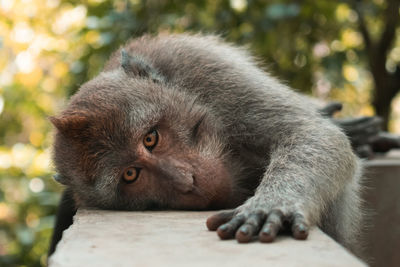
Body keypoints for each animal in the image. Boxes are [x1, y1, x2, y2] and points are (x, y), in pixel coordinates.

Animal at [47, 33, 366, 258]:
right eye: (130, 175)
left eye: (150, 138)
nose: (187, 182)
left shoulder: (202, 66)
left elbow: (309, 132)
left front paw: (271, 205)